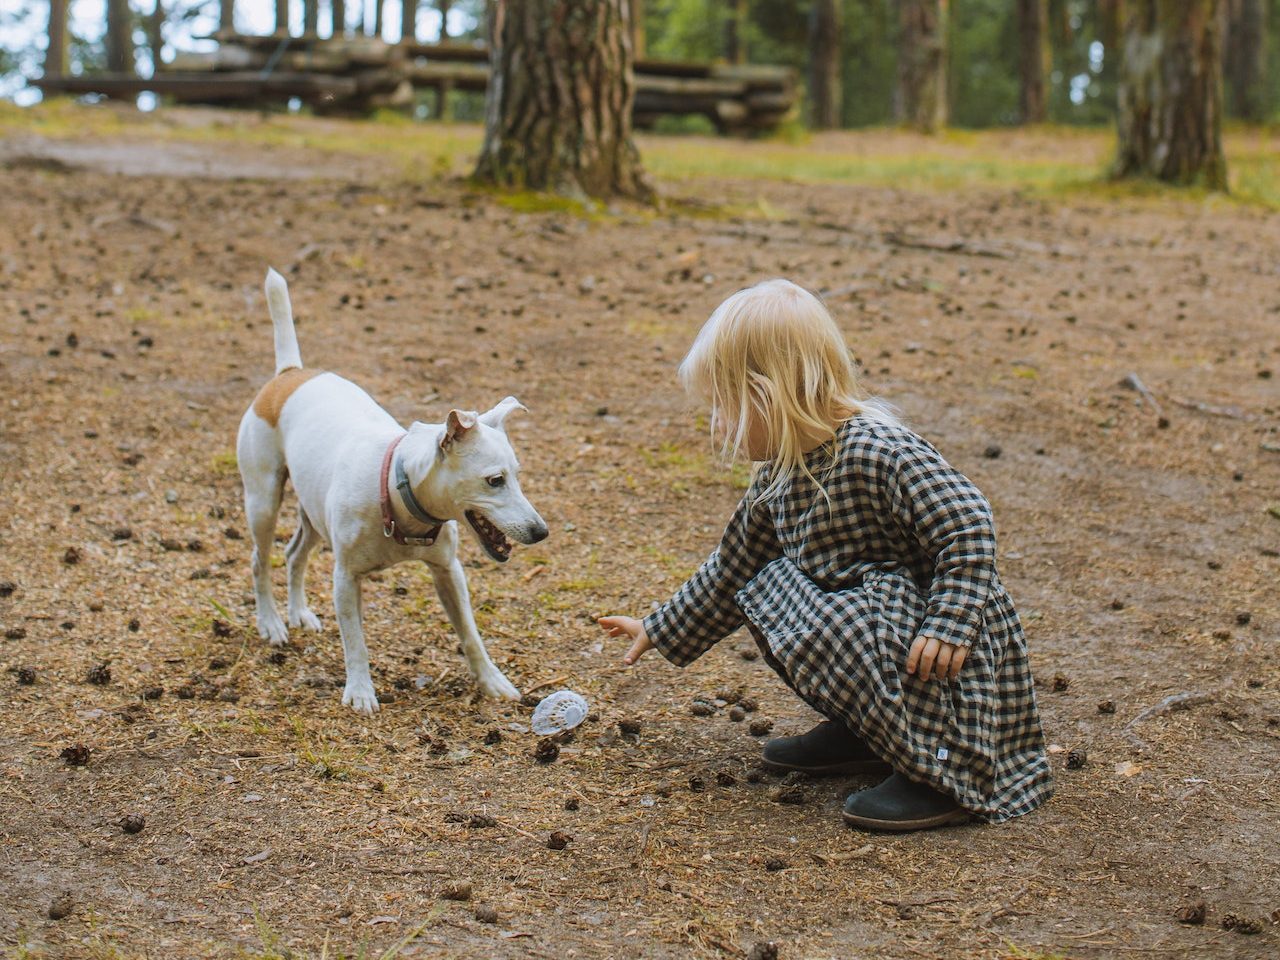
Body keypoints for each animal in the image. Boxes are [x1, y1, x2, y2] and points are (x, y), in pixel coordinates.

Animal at [235, 268, 545, 716]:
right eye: (494, 480)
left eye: (517, 475)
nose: (541, 531)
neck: (398, 494)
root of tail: (289, 373)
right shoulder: (346, 579)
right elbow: (355, 642)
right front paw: (361, 690)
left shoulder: (449, 572)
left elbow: (470, 635)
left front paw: (492, 681)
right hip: (262, 500)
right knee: (260, 560)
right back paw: (272, 623)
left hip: (313, 514)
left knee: (294, 554)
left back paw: (299, 613)